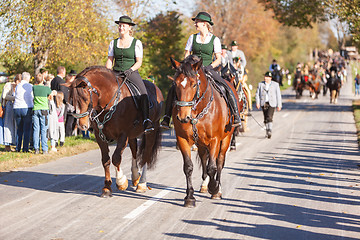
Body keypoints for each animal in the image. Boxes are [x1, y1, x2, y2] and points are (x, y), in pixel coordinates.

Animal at [65, 66, 164, 197]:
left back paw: (142, 184)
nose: (82, 126)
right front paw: (107, 188)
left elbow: (116, 158)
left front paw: (121, 182)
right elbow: (106, 160)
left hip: (151, 131)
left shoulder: (123, 135)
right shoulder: (100, 136)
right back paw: (135, 177)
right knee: (134, 150)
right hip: (132, 134)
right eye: (71, 99)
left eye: (85, 99)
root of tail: (156, 87)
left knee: (146, 155)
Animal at [170, 55, 238, 207]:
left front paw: (215, 188)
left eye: (194, 84)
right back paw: (204, 184)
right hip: (200, 143)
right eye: (176, 84)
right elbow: (188, 167)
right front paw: (189, 197)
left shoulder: (215, 140)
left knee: (219, 162)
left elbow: (213, 167)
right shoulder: (182, 139)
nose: (183, 117)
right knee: (203, 158)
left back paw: (217, 188)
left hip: (225, 139)